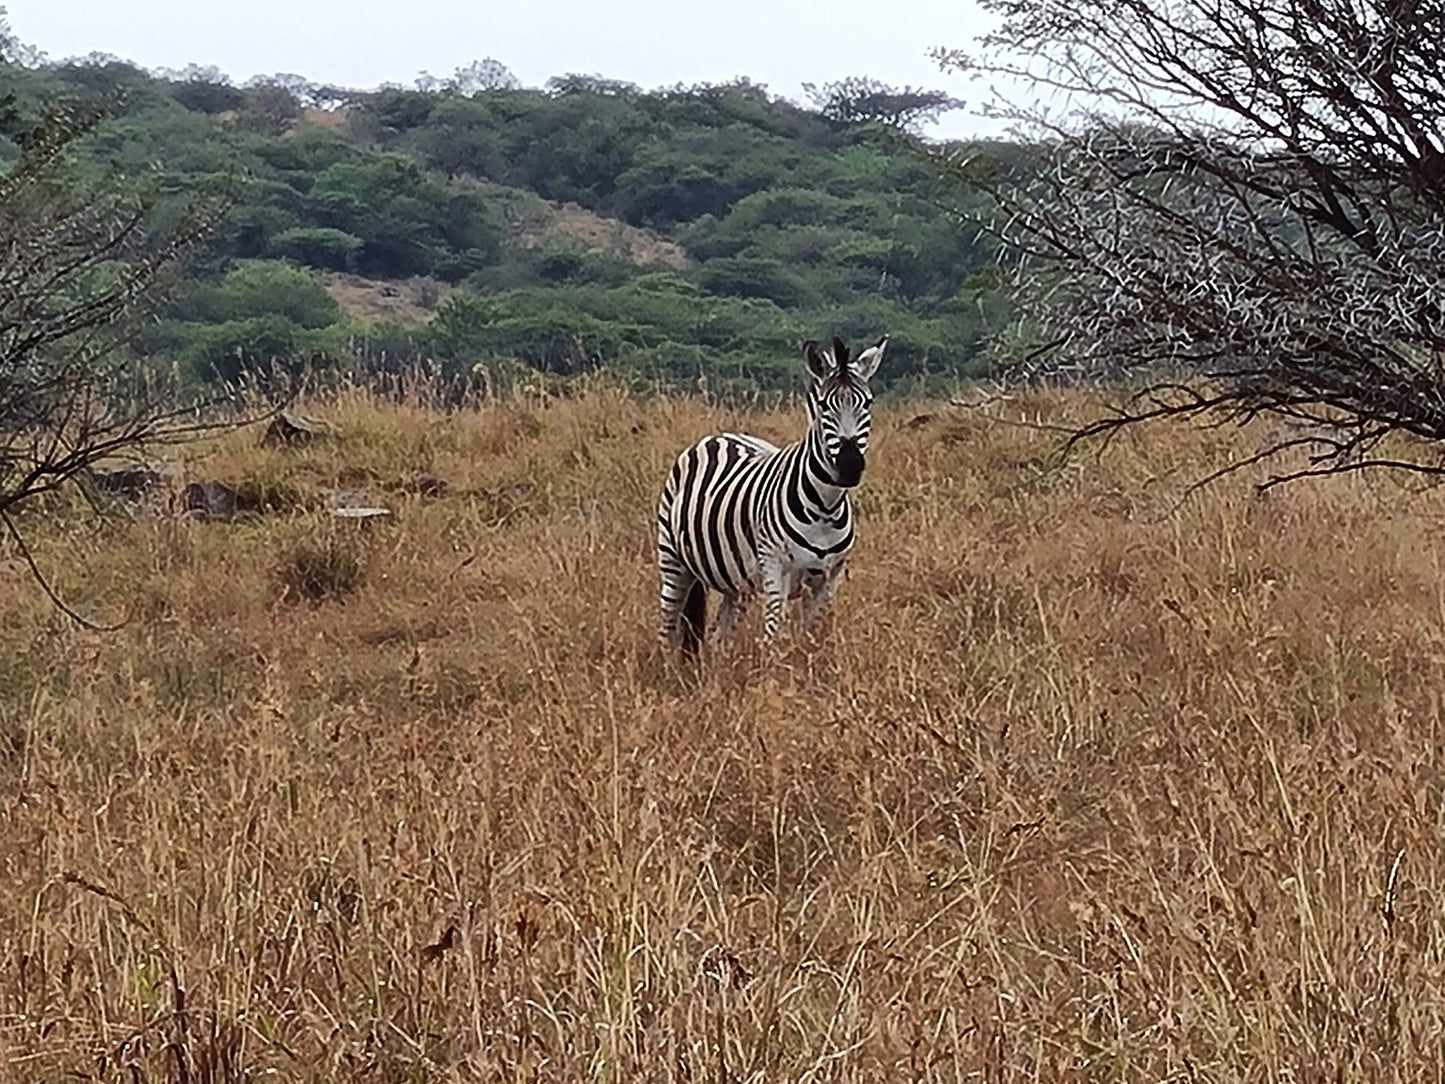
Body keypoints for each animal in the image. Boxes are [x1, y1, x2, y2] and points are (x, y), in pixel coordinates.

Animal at [653, 333, 878, 653]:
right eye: (824, 406)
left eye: (867, 403)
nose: (849, 466)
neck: (825, 507)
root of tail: (720, 436)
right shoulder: (775, 566)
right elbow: (773, 632)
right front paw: (773, 666)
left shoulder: (829, 575)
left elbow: (812, 636)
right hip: (673, 559)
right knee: (668, 626)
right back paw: (666, 664)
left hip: (734, 578)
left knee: (721, 632)